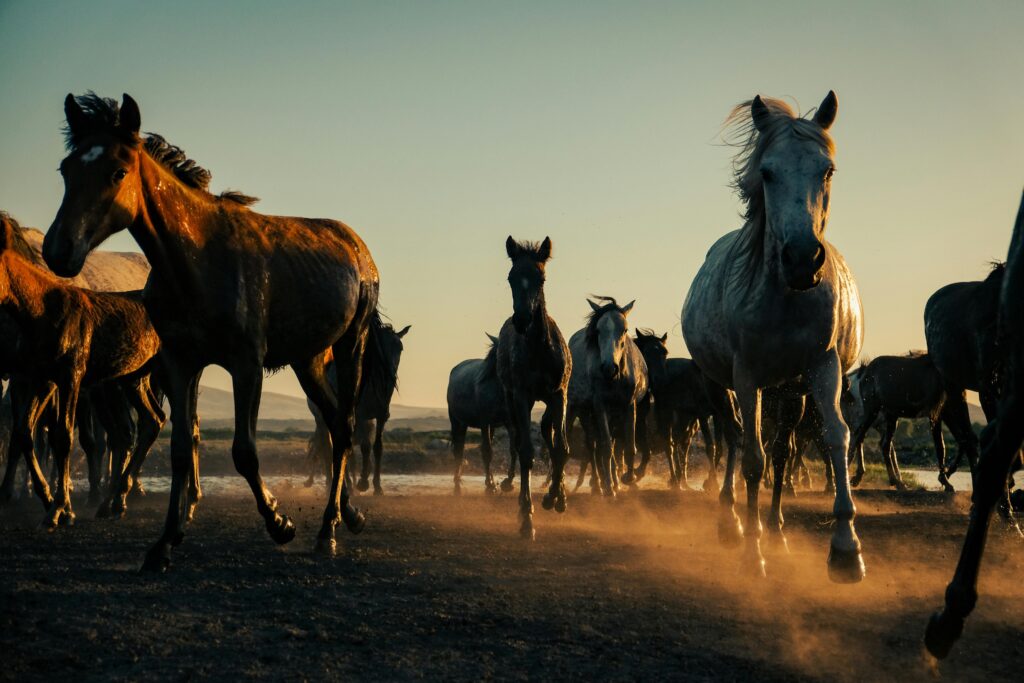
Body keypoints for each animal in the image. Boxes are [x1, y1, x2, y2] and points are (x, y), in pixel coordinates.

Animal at [0, 214, 160, 528]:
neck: (43, 310)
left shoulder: (70, 378)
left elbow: (63, 437)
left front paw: (59, 509)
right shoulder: (41, 380)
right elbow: (25, 432)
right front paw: (46, 498)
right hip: (133, 380)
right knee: (148, 424)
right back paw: (114, 501)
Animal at [679, 92, 864, 581]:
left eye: (827, 170)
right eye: (766, 172)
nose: (802, 258)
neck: (787, 296)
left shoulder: (823, 366)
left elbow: (836, 437)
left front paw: (846, 549)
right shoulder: (746, 376)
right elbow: (752, 458)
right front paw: (752, 553)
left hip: (790, 392)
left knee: (781, 453)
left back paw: (777, 530)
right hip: (720, 384)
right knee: (734, 438)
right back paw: (733, 522)